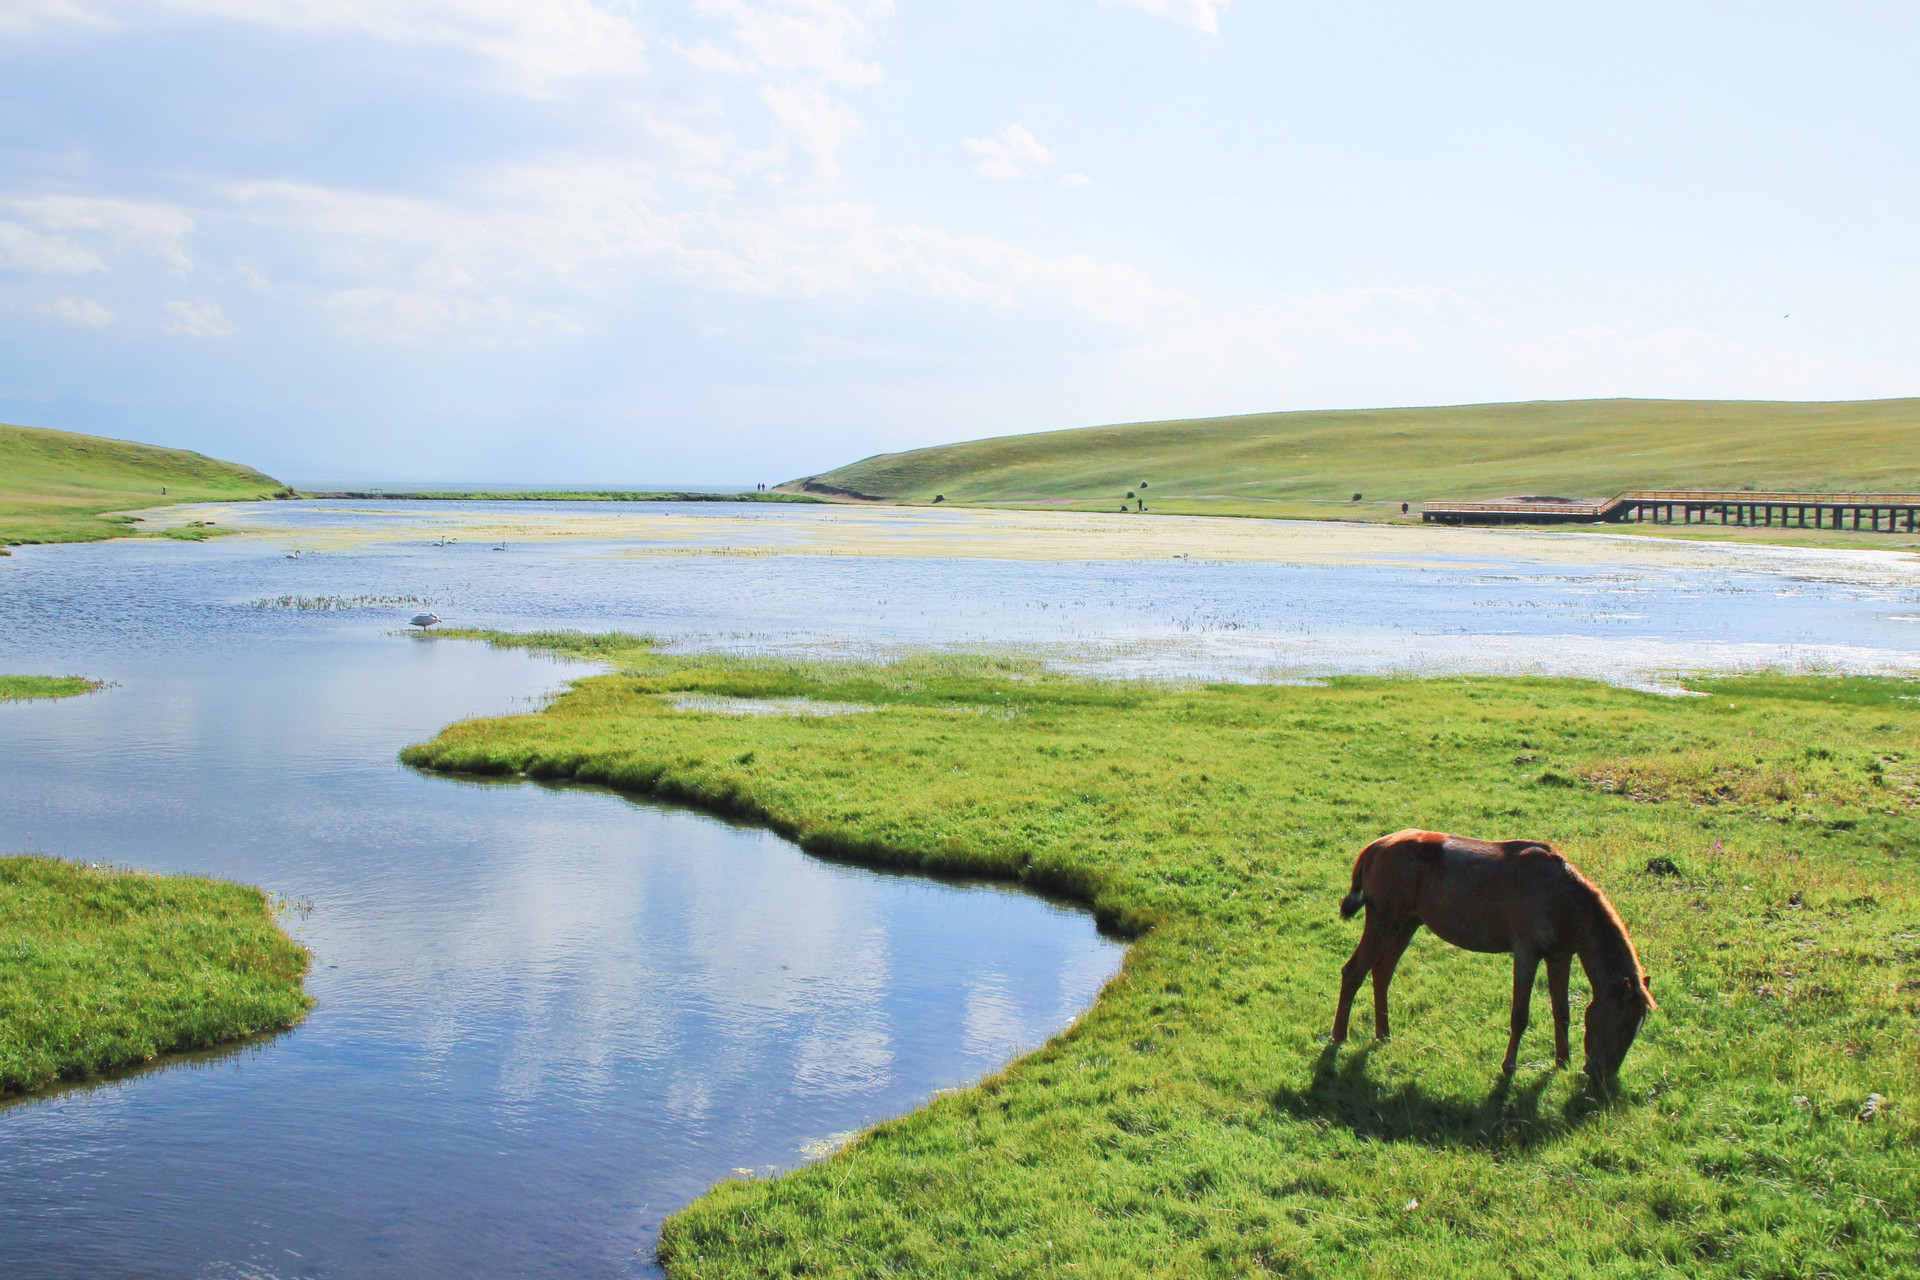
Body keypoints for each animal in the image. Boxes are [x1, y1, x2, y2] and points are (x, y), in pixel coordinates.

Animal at [1328, 832, 1658, 1082]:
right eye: (1622, 1024)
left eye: (1637, 1028)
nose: (1601, 1076)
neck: (1561, 896)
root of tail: (1375, 847)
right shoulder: (1526, 953)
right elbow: (1520, 1015)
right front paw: (1509, 1067)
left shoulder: (1560, 957)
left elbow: (1562, 1011)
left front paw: (1562, 1060)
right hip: (1383, 921)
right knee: (1353, 972)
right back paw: (1338, 1036)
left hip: (1407, 923)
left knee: (1382, 973)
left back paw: (1383, 1034)